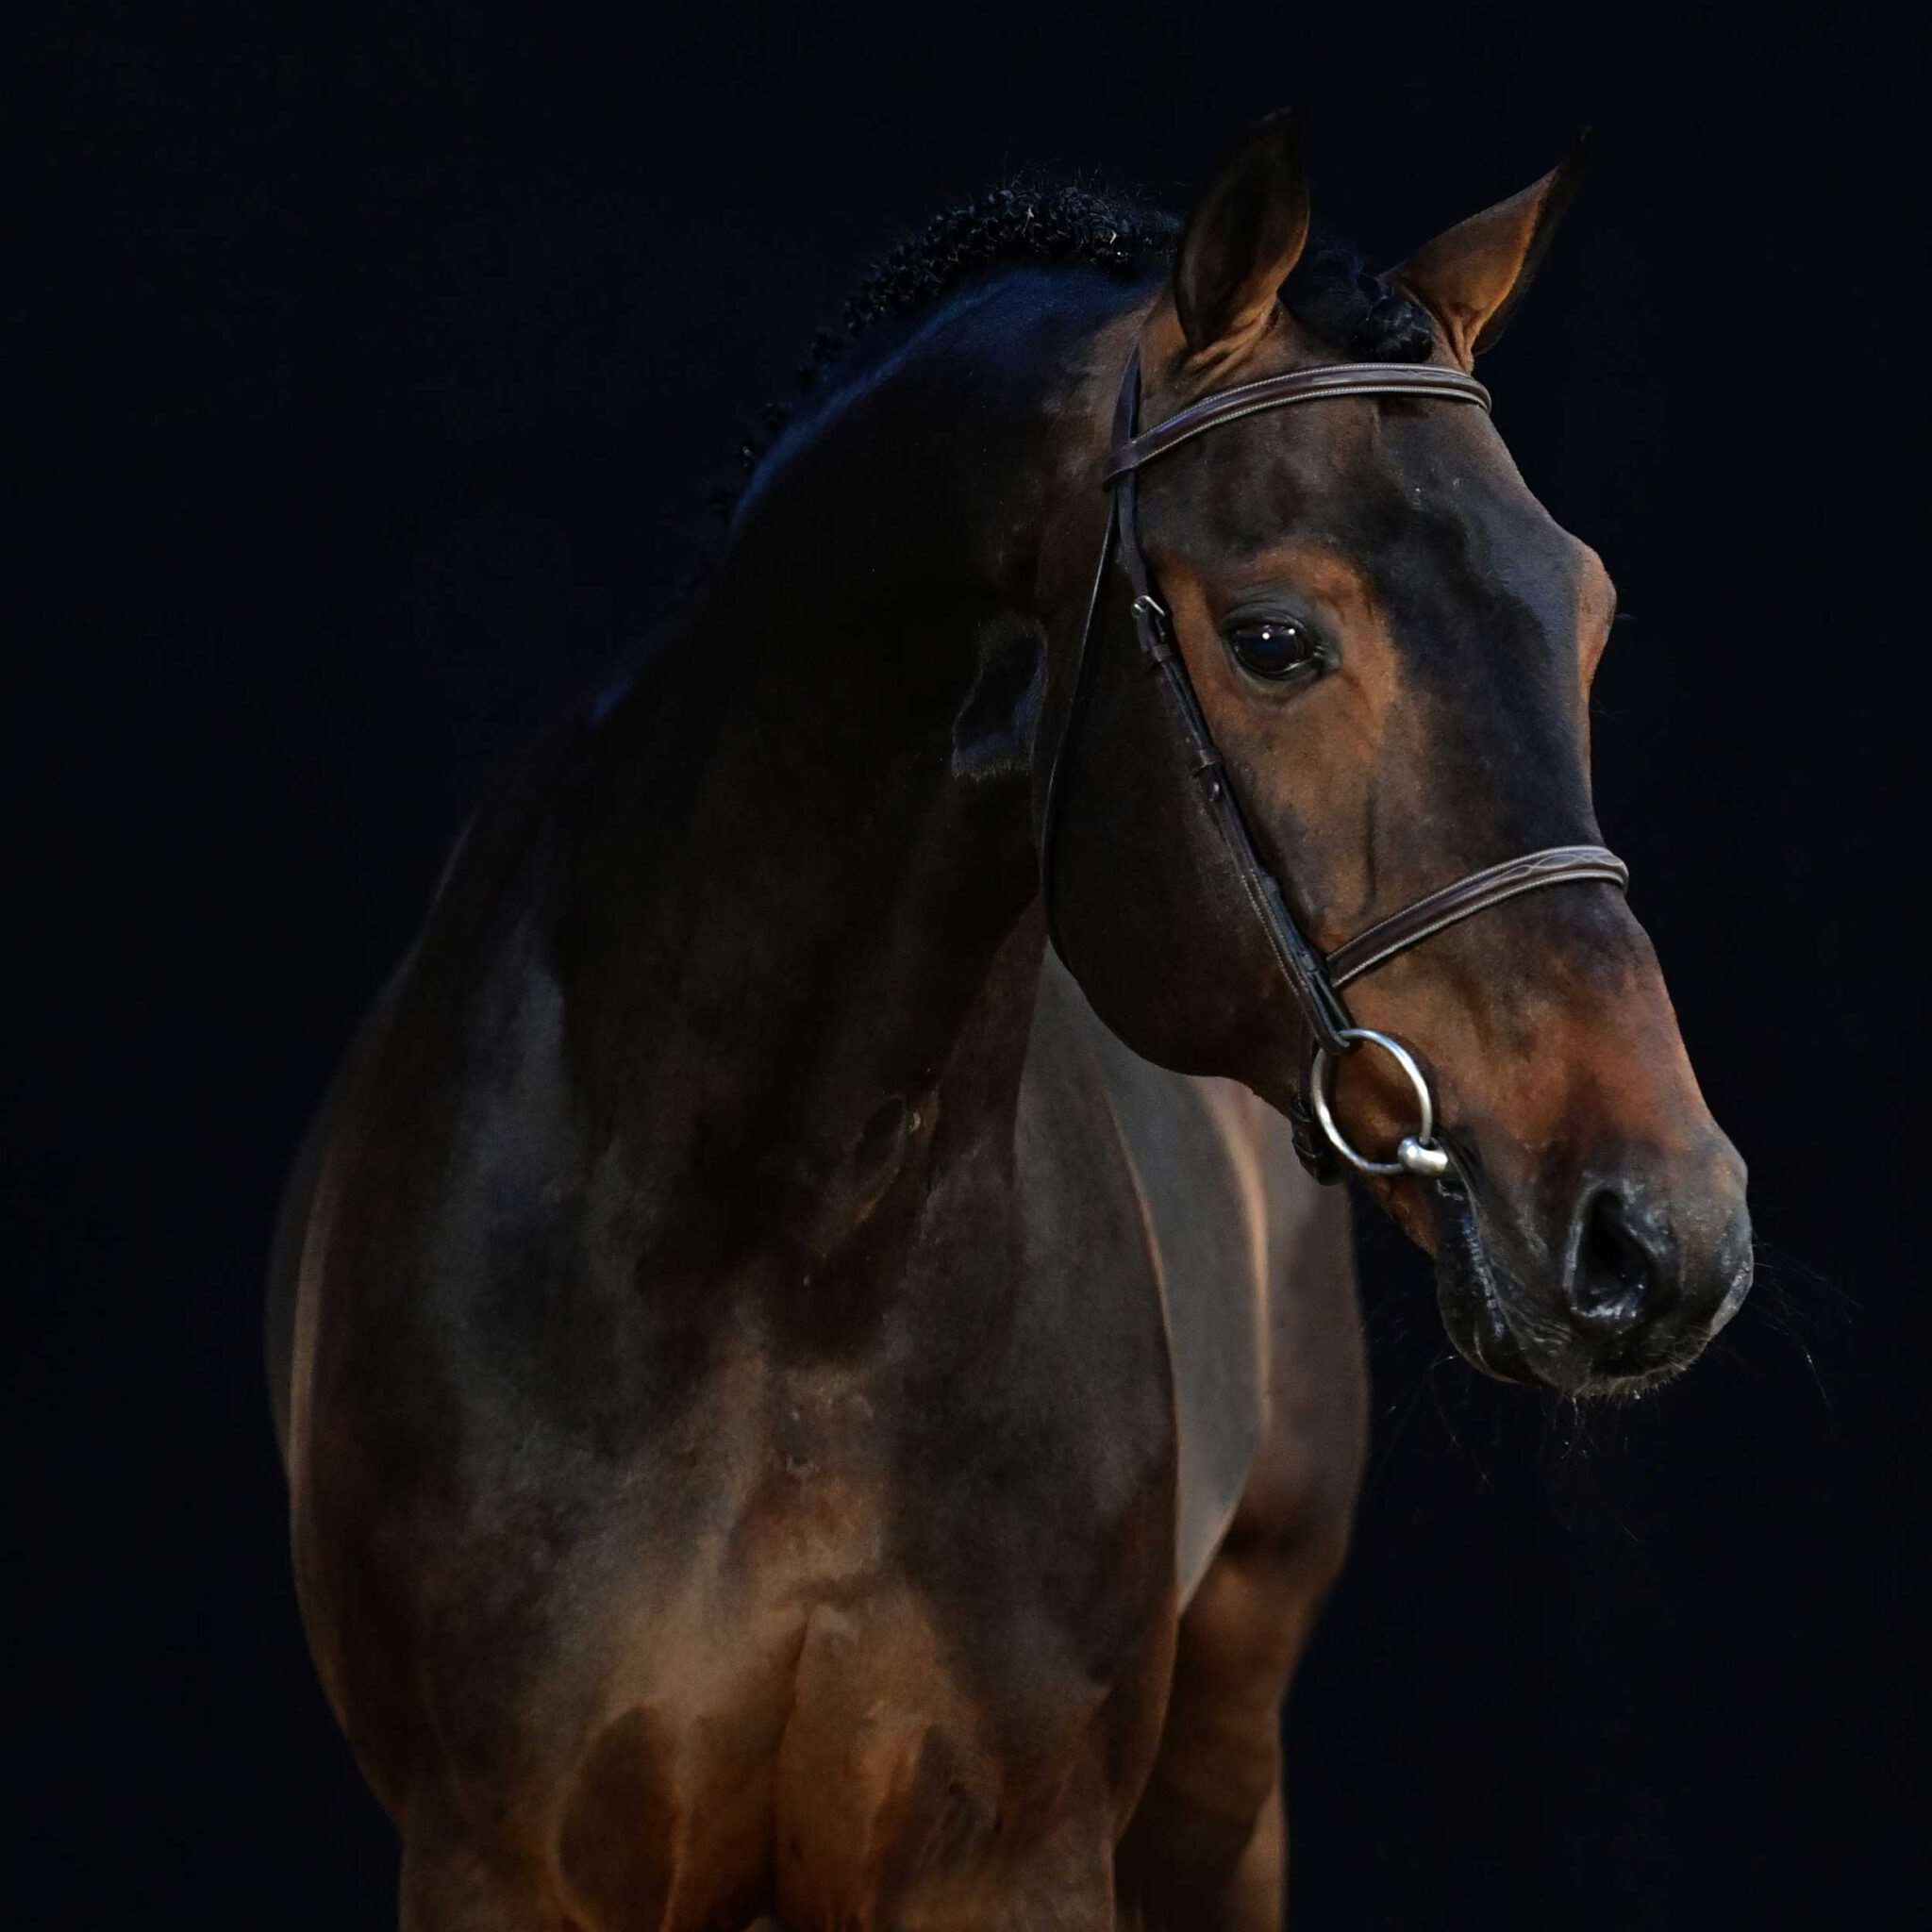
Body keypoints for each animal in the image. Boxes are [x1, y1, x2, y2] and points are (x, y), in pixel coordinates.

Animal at [268, 109, 1752, 1929]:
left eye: (1587, 612)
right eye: (1274, 640)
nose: (1664, 1231)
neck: (760, 1247)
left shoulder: (1012, 1858)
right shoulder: (501, 1863)